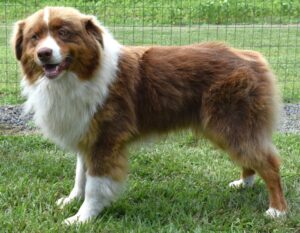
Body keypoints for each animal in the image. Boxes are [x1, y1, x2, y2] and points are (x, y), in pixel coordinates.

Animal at [11, 6, 288, 224]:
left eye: (64, 33)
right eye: (34, 37)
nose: (44, 53)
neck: (81, 75)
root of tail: (252, 56)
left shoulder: (105, 138)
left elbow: (95, 184)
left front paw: (82, 217)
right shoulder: (85, 132)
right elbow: (81, 175)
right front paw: (71, 200)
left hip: (232, 124)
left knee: (269, 163)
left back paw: (277, 210)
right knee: (251, 158)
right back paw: (244, 184)